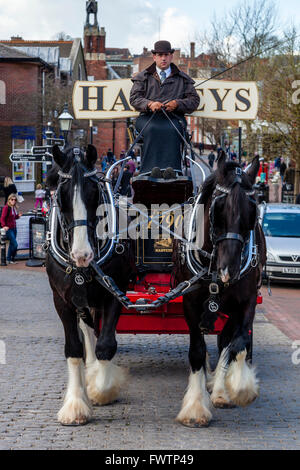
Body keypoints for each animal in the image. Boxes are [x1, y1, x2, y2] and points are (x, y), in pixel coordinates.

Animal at [46, 144, 133, 426]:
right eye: (61, 196)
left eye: (94, 193)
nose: (82, 254)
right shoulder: (61, 300)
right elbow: (74, 348)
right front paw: (75, 405)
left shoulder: (115, 292)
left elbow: (107, 344)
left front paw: (100, 389)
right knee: (87, 328)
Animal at [175, 152, 266, 428]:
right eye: (218, 208)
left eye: (252, 212)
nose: (229, 270)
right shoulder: (190, 304)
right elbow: (196, 351)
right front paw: (195, 408)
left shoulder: (246, 304)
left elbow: (237, 343)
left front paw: (237, 389)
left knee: (228, 340)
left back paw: (218, 386)